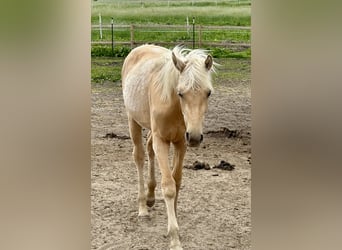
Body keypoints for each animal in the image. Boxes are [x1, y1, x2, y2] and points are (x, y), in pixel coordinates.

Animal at [121, 45, 215, 250]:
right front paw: (174, 237)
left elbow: (177, 181)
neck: (173, 107)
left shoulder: (181, 142)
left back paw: (150, 198)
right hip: (133, 121)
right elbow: (169, 186)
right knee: (139, 156)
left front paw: (174, 218)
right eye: (180, 93)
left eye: (208, 93)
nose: (195, 136)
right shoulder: (162, 141)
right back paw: (142, 207)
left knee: (149, 150)